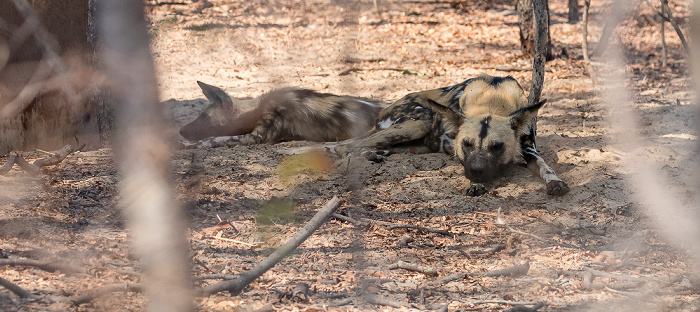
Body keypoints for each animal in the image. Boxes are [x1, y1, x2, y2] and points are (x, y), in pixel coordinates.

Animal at [334, 74, 568, 196]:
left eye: (497, 146)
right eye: (466, 144)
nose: (476, 171)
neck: (492, 103)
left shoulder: (529, 148)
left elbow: (545, 166)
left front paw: (554, 181)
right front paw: (476, 184)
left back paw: (373, 154)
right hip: (418, 124)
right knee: (343, 146)